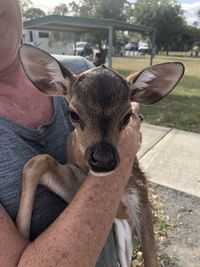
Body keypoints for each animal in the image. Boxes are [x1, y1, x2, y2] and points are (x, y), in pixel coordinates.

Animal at [15, 44, 184, 267]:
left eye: (127, 116)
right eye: (73, 114)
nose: (103, 160)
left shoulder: (139, 190)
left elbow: (152, 259)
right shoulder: (77, 185)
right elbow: (37, 160)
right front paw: (20, 229)